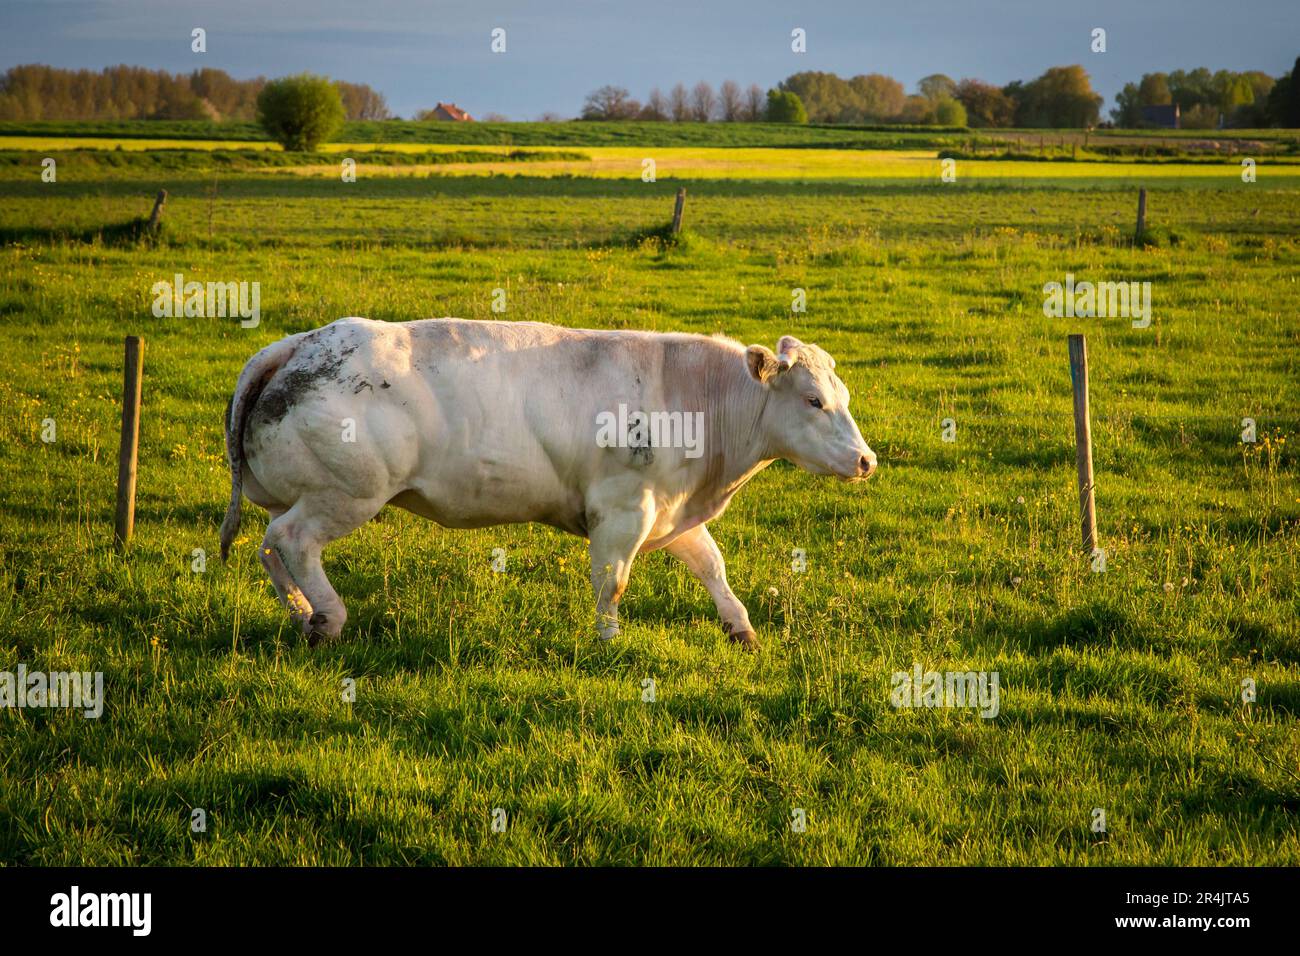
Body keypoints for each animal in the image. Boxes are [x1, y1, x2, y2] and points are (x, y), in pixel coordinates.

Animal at [220, 321, 873, 650]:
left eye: (842, 396)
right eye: (814, 401)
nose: (866, 460)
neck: (694, 400)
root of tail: (298, 344)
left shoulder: (668, 510)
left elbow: (711, 565)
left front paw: (740, 627)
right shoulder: (622, 510)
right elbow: (612, 582)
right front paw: (609, 641)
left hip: (309, 495)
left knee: (270, 545)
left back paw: (302, 614)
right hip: (346, 494)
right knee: (294, 541)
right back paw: (327, 618)